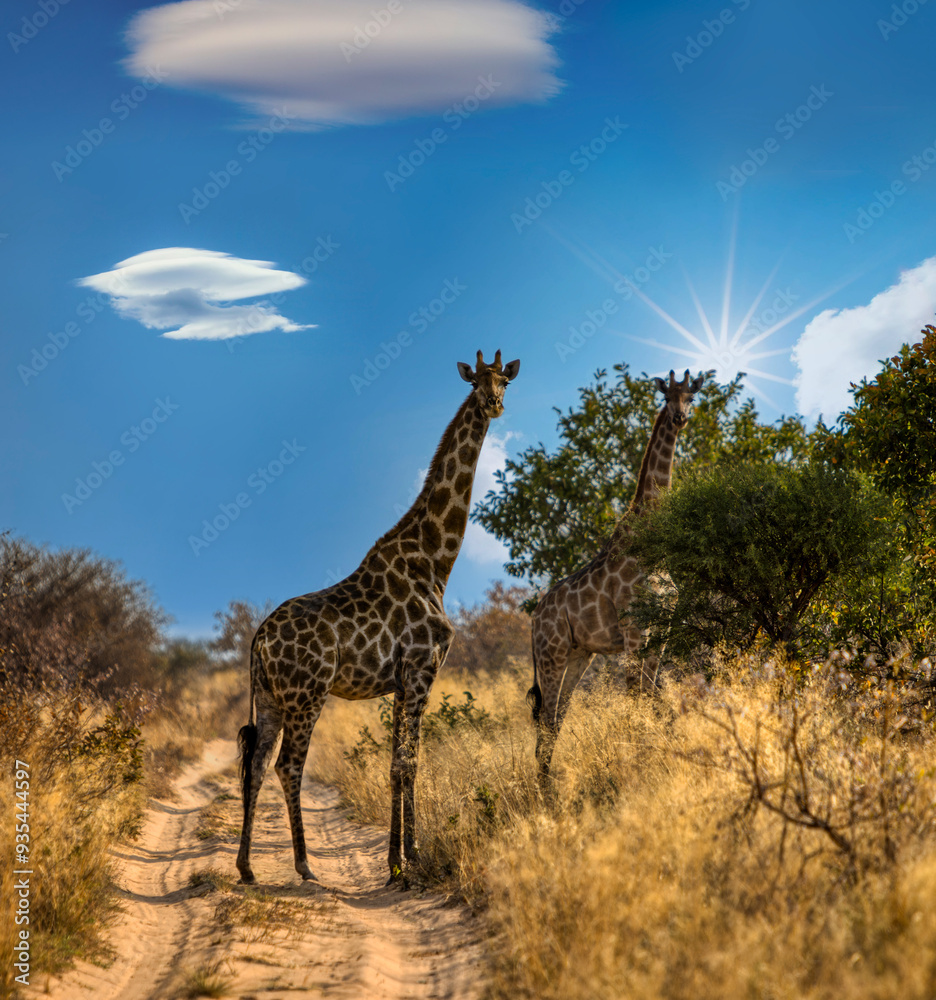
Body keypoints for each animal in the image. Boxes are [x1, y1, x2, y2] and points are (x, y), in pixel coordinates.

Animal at [236, 350, 520, 885]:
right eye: (475, 383)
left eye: (505, 382)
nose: (493, 404)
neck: (436, 561)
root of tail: (258, 639)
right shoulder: (422, 669)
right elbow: (408, 763)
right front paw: (410, 862)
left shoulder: (403, 678)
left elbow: (397, 764)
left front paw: (398, 861)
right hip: (307, 694)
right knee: (288, 766)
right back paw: (304, 865)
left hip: (268, 697)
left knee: (256, 764)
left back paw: (245, 867)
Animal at [527, 369, 704, 786]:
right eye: (667, 395)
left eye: (691, 396)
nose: (679, 417)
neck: (651, 539)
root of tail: (533, 621)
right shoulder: (634, 627)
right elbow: (636, 697)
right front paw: (639, 766)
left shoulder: (661, 627)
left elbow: (654, 698)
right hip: (551, 654)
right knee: (546, 719)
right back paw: (541, 792)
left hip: (579, 654)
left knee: (556, 719)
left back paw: (547, 787)